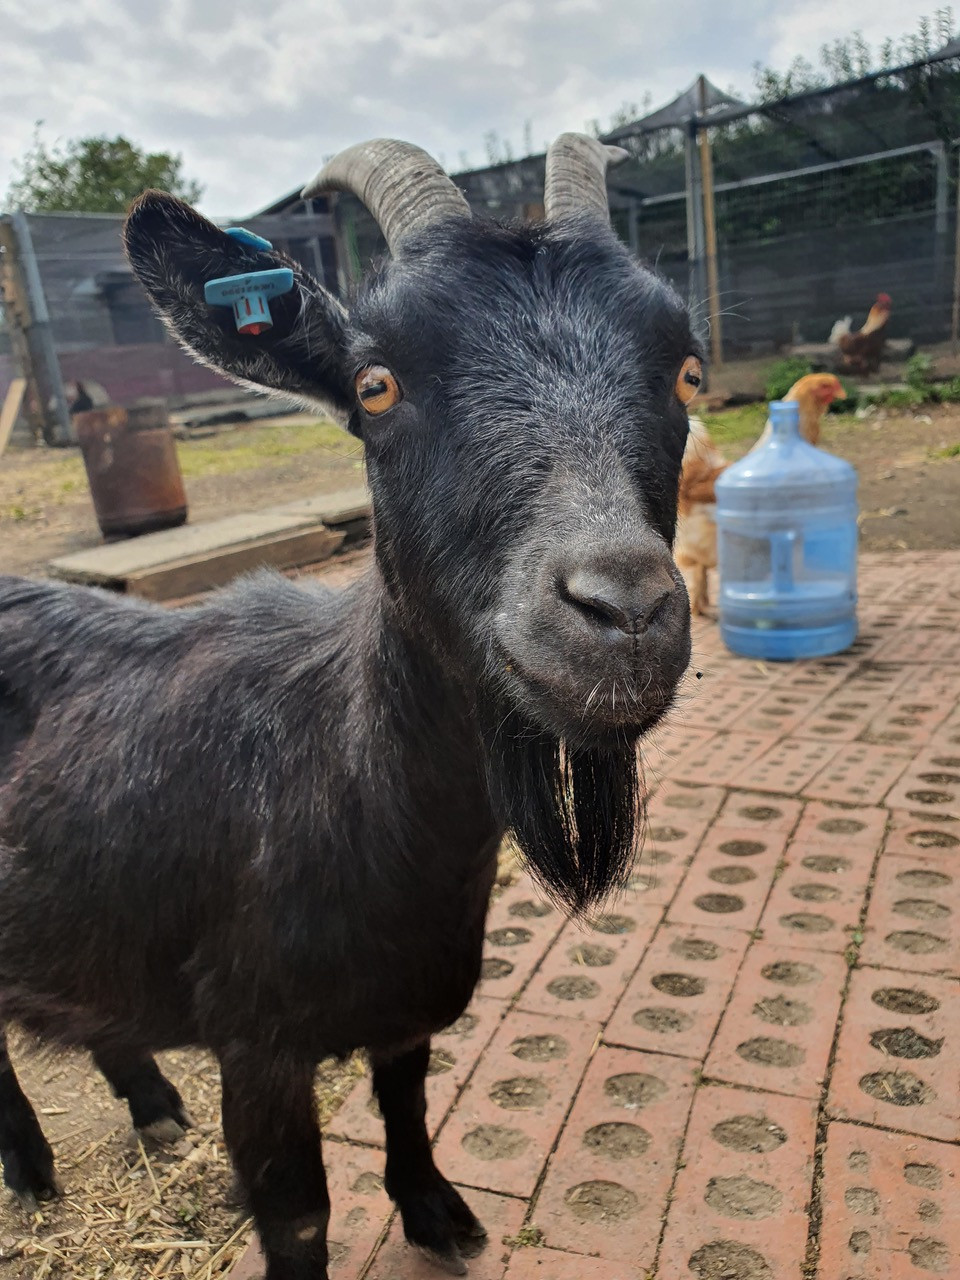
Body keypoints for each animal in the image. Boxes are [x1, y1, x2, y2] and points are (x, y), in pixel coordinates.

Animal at [0, 134, 700, 1279]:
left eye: (687, 369)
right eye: (375, 385)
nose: (623, 610)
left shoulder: (412, 1000)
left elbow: (407, 1106)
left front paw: (438, 1214)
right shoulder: (257, 1043)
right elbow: (298, 1215)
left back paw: (151, 1105)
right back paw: (30, 1164)